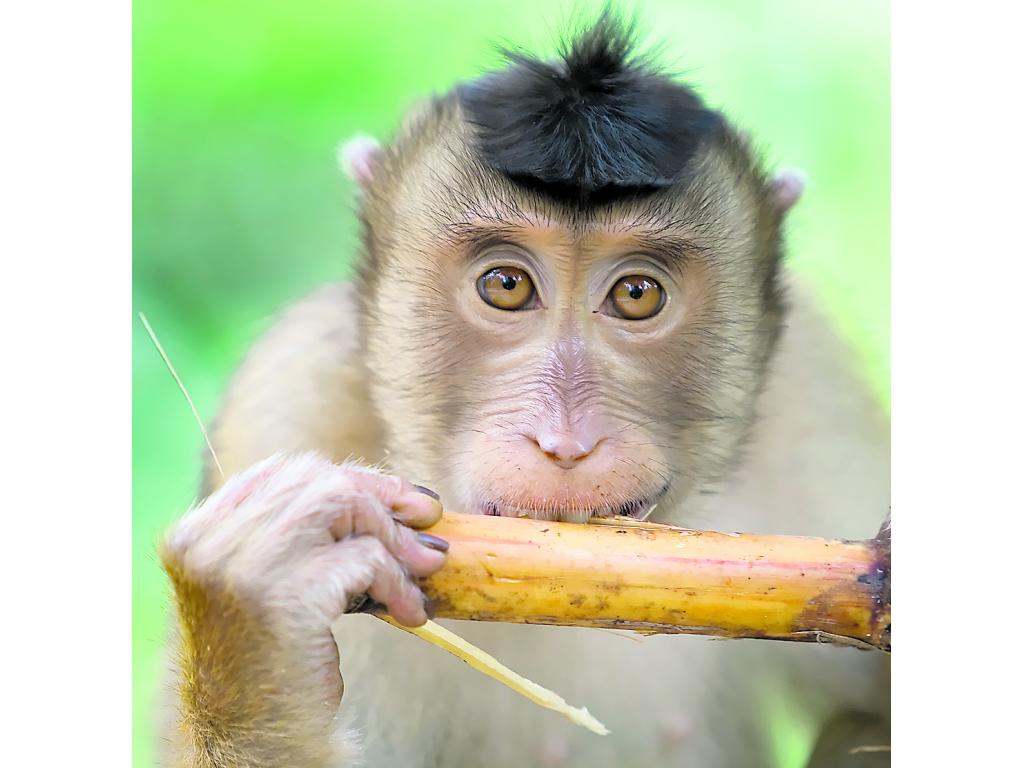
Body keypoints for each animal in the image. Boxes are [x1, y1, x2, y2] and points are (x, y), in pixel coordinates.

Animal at [159, 14, 890, 768]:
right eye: (505, 285)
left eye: (637, 294)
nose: (566, 443)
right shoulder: (288, 396)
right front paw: (251, 614)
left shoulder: (819, 391)